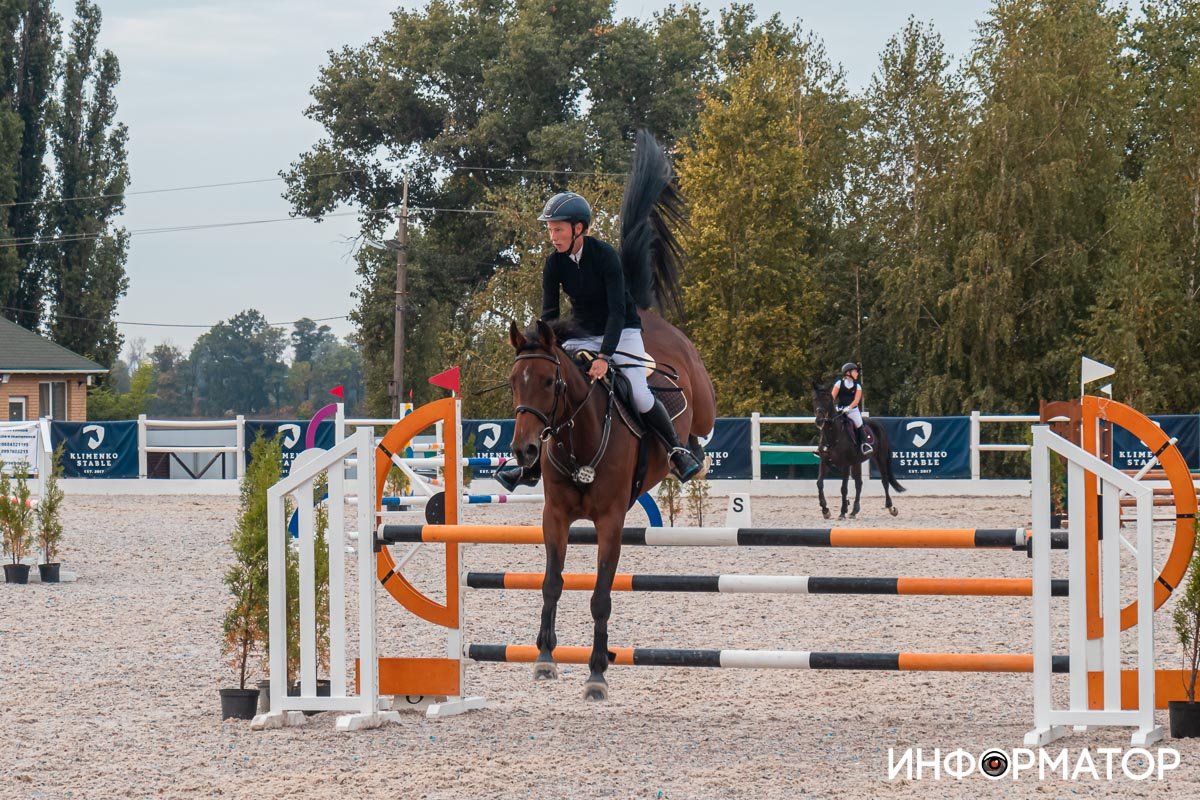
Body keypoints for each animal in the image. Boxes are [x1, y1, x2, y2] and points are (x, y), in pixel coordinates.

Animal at [506, 132, 716, 701]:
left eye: (551, 383)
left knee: (700, 430)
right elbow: (552, 583)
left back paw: (692, 456)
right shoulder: (555, 517)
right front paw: (544, 658)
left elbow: (600, 594)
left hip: (698, 399)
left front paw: (597, 672)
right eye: (514, 383)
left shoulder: (610, 522)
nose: (524, 450)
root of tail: (646, 317)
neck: (579, 439)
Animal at [811, 382, 905, 519]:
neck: (833, 434)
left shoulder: (845, 464)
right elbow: (819, 483)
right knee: (859, 484)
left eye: (828, 399)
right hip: (856, 462)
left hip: (880, 458)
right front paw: (825, 510)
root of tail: (878, 425)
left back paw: (891, 507)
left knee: (884, 481)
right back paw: (854, 511)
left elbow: (843, 488)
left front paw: (842, 512)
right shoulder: (825, 462)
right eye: (815, 399)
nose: (819, 421)